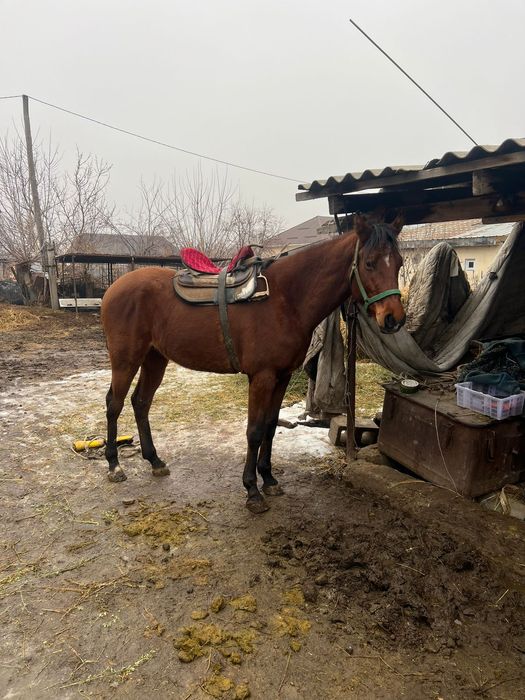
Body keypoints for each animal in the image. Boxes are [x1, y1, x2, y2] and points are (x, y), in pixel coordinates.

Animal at [100, 214, 406, 513]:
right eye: (369, 263)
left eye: (399, 263)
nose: (394, 319)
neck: (286, 300)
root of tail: (114, 288)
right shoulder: (262, 377)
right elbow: (255, 431)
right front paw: (252, 490)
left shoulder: (282, 376)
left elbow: (270, 426)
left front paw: (268, 479)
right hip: (126, 360)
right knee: (114, 404)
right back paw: (114, 466)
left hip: (155, 359)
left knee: (140, 402)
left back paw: (154, 461)